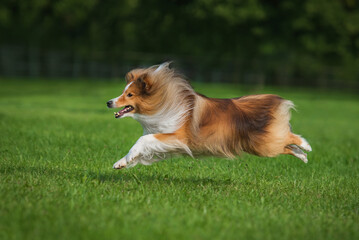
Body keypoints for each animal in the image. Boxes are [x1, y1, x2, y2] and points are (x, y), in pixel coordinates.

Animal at [107, 62, 312, 170]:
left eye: (129, 95)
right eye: (123, 92)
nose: (109, 102)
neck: (164, 102)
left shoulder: (178, 136)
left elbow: (143, 140)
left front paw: (127, 159)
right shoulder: (165, 140)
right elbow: (143, 146)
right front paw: (122, 162)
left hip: (264, 145)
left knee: (289, 138)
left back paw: (306, 146)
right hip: (259, 145)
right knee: (287, 146)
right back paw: (303, 156)